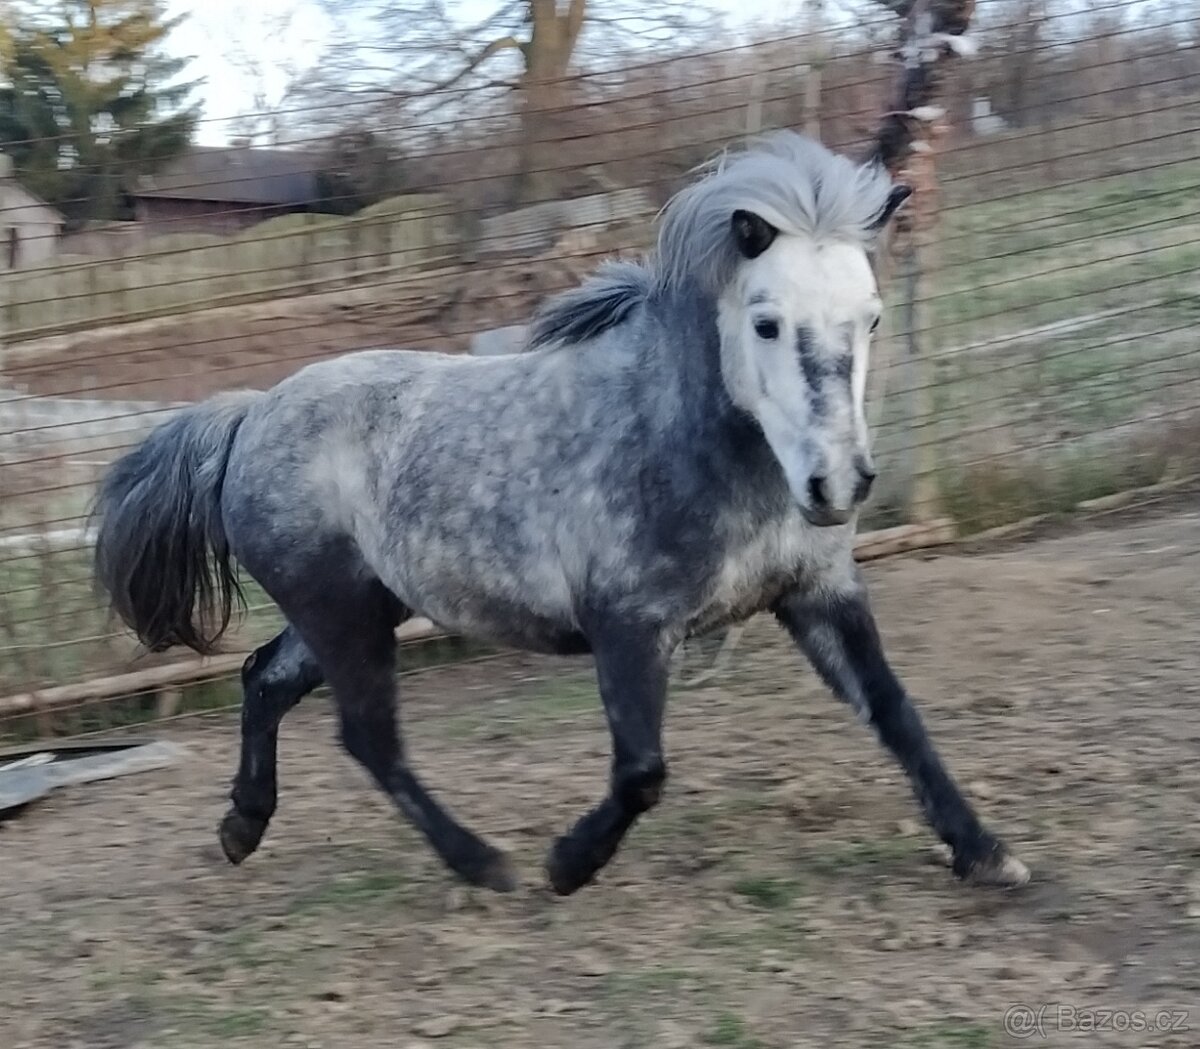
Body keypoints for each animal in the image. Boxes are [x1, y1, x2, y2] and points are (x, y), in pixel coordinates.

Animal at [92, 131, 1029, 896]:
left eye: (870, 317)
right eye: (766, 322)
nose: (838, 484)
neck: (692, 443)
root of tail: (250, 416)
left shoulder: (816, 595)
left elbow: (895, 713)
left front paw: (985, 850)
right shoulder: (629, 624)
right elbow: (643, 769)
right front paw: (568, 863)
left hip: (356, 608)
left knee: (265, 681)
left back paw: (242, 826)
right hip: (342, 613)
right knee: (368, 737)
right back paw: (484, 863)